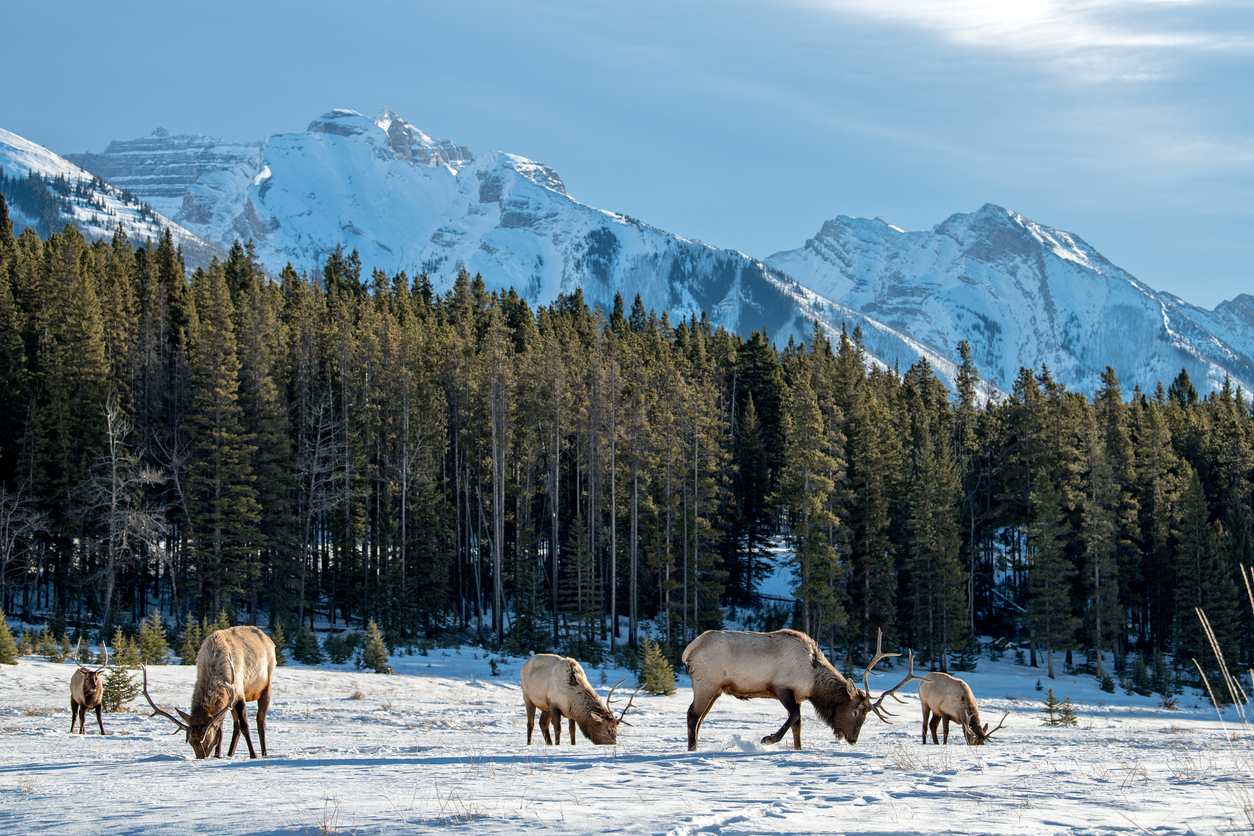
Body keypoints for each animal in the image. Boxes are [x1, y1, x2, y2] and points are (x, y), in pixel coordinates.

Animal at [143, 624, 278, 762]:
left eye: (207, 739)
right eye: (191, 742)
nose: (201, 757)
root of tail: (268, 638)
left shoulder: (239, 693)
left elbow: (245, 726)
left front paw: (253, 755)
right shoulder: (225, 702)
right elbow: (220, 731)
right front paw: (218, 755)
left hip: (266, 685)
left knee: (260, 721)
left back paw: (264, 753)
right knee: (236, 726)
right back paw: (230, 754)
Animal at [682, 626, 917, 752]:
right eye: (856, 712)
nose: (852, 740)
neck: (814, 682)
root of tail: (689, 650)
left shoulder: (797, 696)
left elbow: (798, 725)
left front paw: (798, 748)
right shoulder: (782, 687)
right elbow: (794, 716)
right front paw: (768, 739)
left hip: (715, 690)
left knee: (699, 718)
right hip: (706, 683)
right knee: (693, 715)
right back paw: (692, 749)